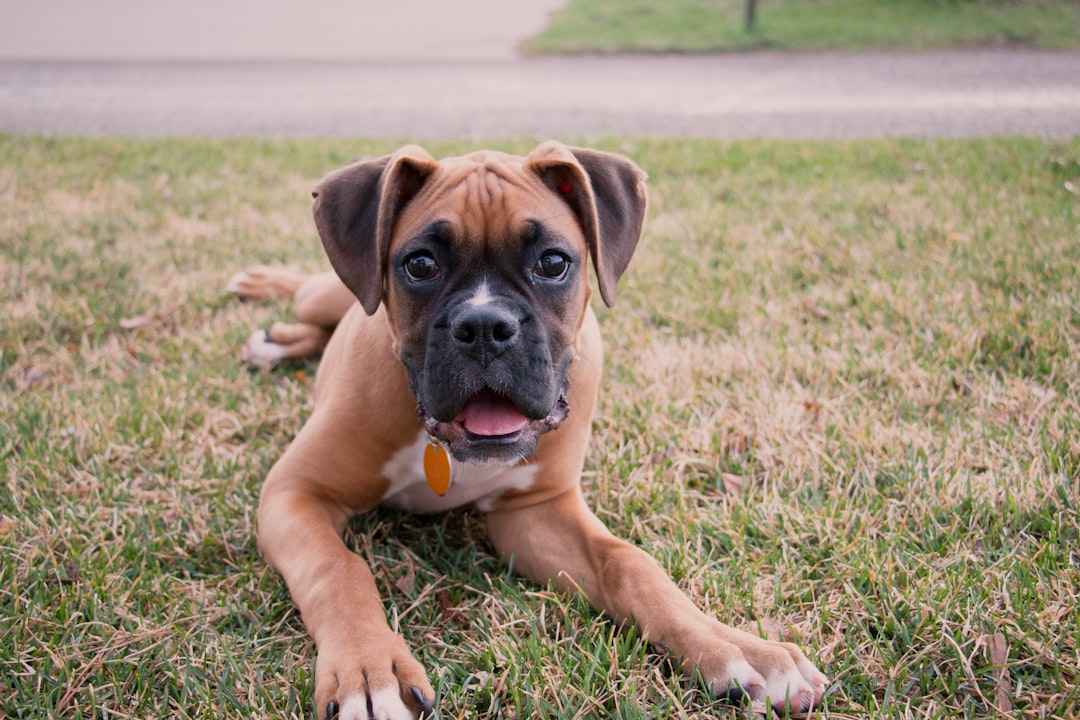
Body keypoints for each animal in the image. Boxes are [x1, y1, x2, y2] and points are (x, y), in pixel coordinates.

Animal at [230, 142, 825, 720]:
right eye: (420, 264)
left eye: (553, 262)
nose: (485, 326)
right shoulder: (294, 492)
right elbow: (339, 568)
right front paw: (368, 671)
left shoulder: (535, 512)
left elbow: (629, 562)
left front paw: (736, 648)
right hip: (329, 296)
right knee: (308, 292)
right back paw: (265, 295)